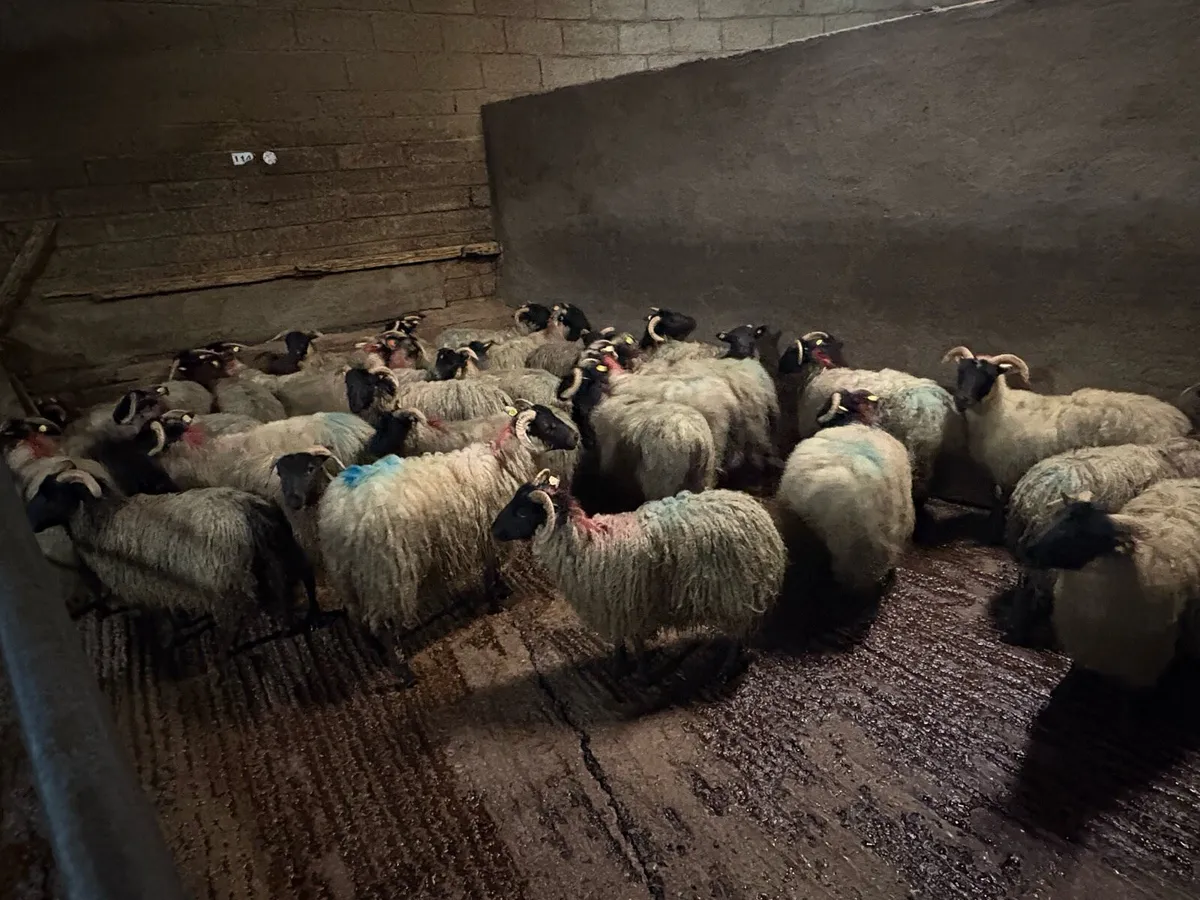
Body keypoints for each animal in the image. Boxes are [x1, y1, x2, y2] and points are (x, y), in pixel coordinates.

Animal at [25, 465, 319, 654]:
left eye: (51, 494)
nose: (28, 521)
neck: (104, 521)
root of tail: (248, 509)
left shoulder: (139, 585)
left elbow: (159, 616)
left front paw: (168, 642)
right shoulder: (161, 582)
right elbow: (171, 612)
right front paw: (181, 627)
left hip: (222, 579)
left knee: (235, 617)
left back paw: (224, 652)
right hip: (276, 554)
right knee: (290, 586)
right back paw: (291, 625)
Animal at [278, 404, 579, 685]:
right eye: (549, 426)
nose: (576, 437)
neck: (502, 462)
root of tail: (337, 513)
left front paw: (499, 592)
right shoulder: (488, 532)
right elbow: (491, 568)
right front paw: (496, 600)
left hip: (349, 575)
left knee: (359, 619)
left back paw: (378, 653)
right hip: (386, 574)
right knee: (384, 625)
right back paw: (404, 672)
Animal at [491, 469, 786, 681]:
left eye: (521, 512)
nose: (493, 529)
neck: (587, 543)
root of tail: (758, 512)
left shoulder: (631, 605)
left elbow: (637, 643)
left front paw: (641, 673)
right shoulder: (612, 605)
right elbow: (619, 641)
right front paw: (618, 667)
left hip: (737, 591)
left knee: (738, 633)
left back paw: (726, 668)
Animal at [942, 346, 1192, 499]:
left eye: (989, 375)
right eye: (961, 372)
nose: (961, 399)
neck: (999, 411)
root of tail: (1180, 420)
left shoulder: (1005, 471)